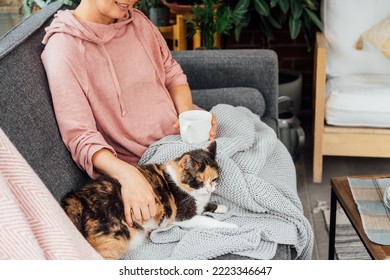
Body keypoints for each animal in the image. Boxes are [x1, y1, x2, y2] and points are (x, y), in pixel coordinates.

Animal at [62, 142, 236, 260]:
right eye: (199, 181)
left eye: (214, 179)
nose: (209, 189)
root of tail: (78, 196)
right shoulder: (184, 216)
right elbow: (206, 221)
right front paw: (229, 226)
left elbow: (206, 206)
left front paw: (220, 207)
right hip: (114, 236)